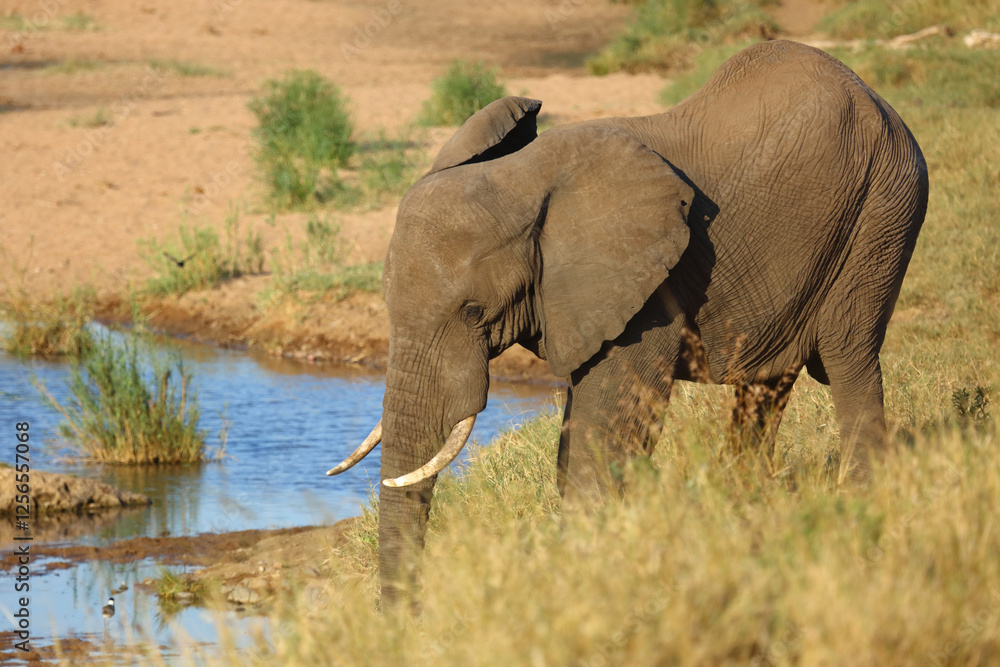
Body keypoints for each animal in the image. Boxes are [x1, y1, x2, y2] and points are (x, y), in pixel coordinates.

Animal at [328, 40, 928, 605]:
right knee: (767, 386)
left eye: (474, 312)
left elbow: (608, 430)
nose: (404, 621)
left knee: (849, 358)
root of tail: (874, 95)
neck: (526, 180)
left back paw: (862, 509)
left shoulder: (648, 285)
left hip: (883, 210)